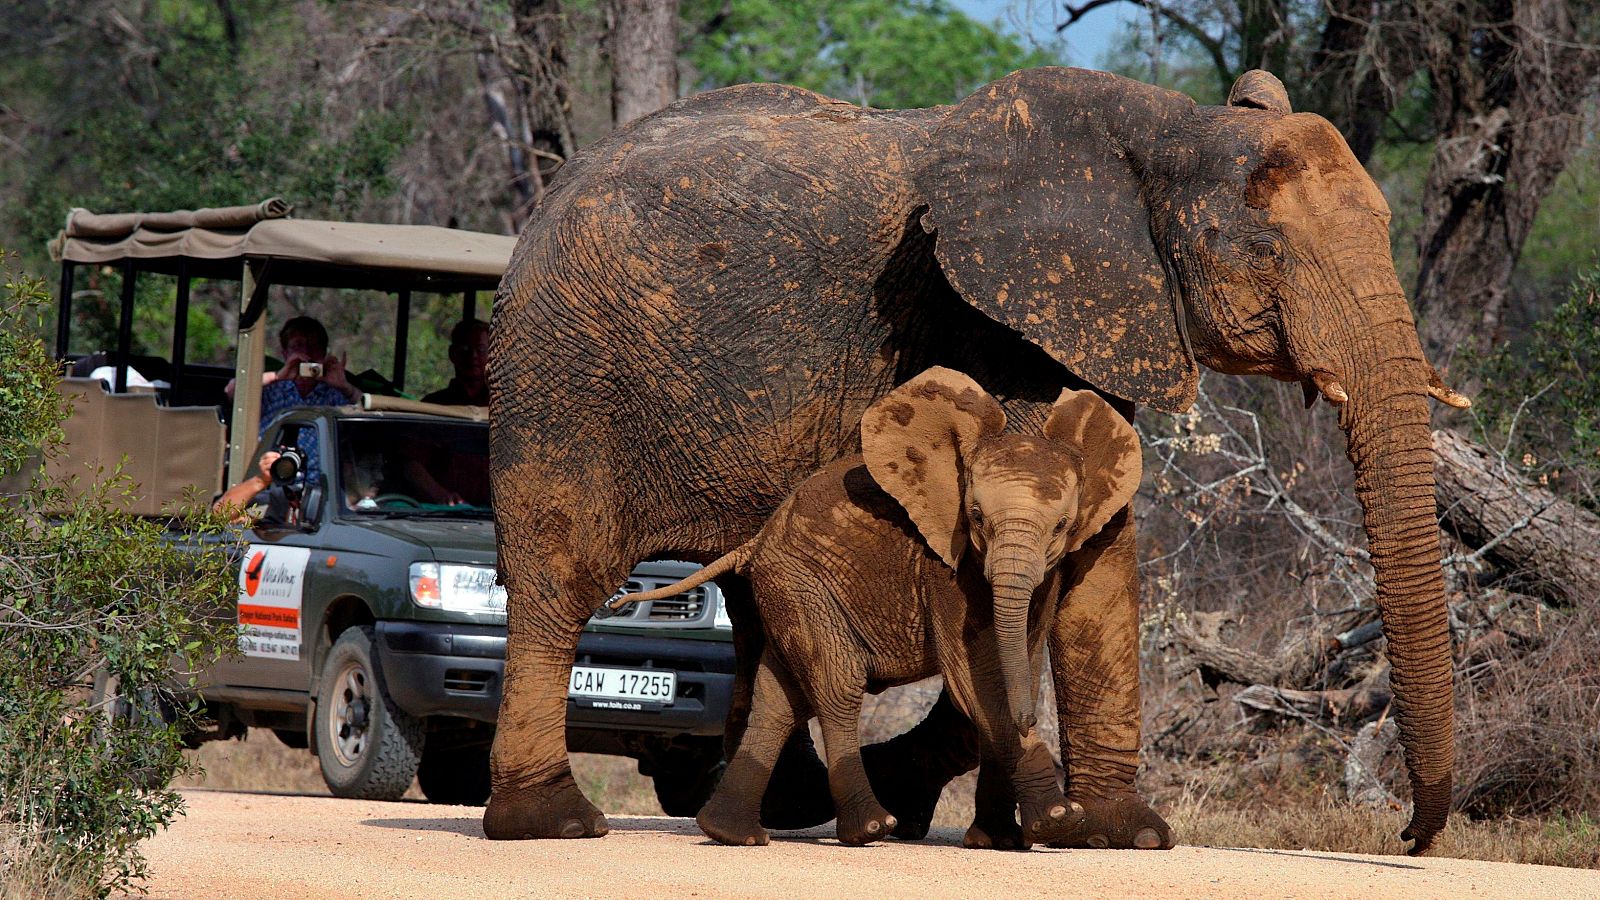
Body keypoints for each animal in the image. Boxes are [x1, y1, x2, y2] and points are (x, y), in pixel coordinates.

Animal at [613, 368, 1142, 849]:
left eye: (1062, 526)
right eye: (975, 518)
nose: (1033, 723)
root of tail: (756, 541)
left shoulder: (1047, 574)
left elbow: (1021, 668)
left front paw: (1004, 841)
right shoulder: (944, 568)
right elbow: (979, 678)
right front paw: (1058, 819)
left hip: (786, 591)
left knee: (780, 696)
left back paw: (731, 833)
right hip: (803, 584)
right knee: (837, 684)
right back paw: (869, 829)